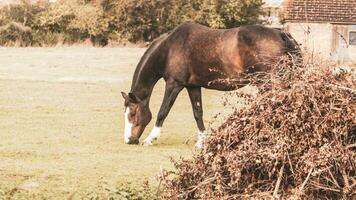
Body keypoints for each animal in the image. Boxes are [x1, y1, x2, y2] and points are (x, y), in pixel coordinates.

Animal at [121, 21, 298, 148]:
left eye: (132, 113)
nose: (129, 140)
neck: (169, 48)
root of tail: (280, 33)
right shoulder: (192, 86)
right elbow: (197, 113)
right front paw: (201, 142)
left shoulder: (174, 85)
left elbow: (162, 112)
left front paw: (150, 139)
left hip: (267, 82)